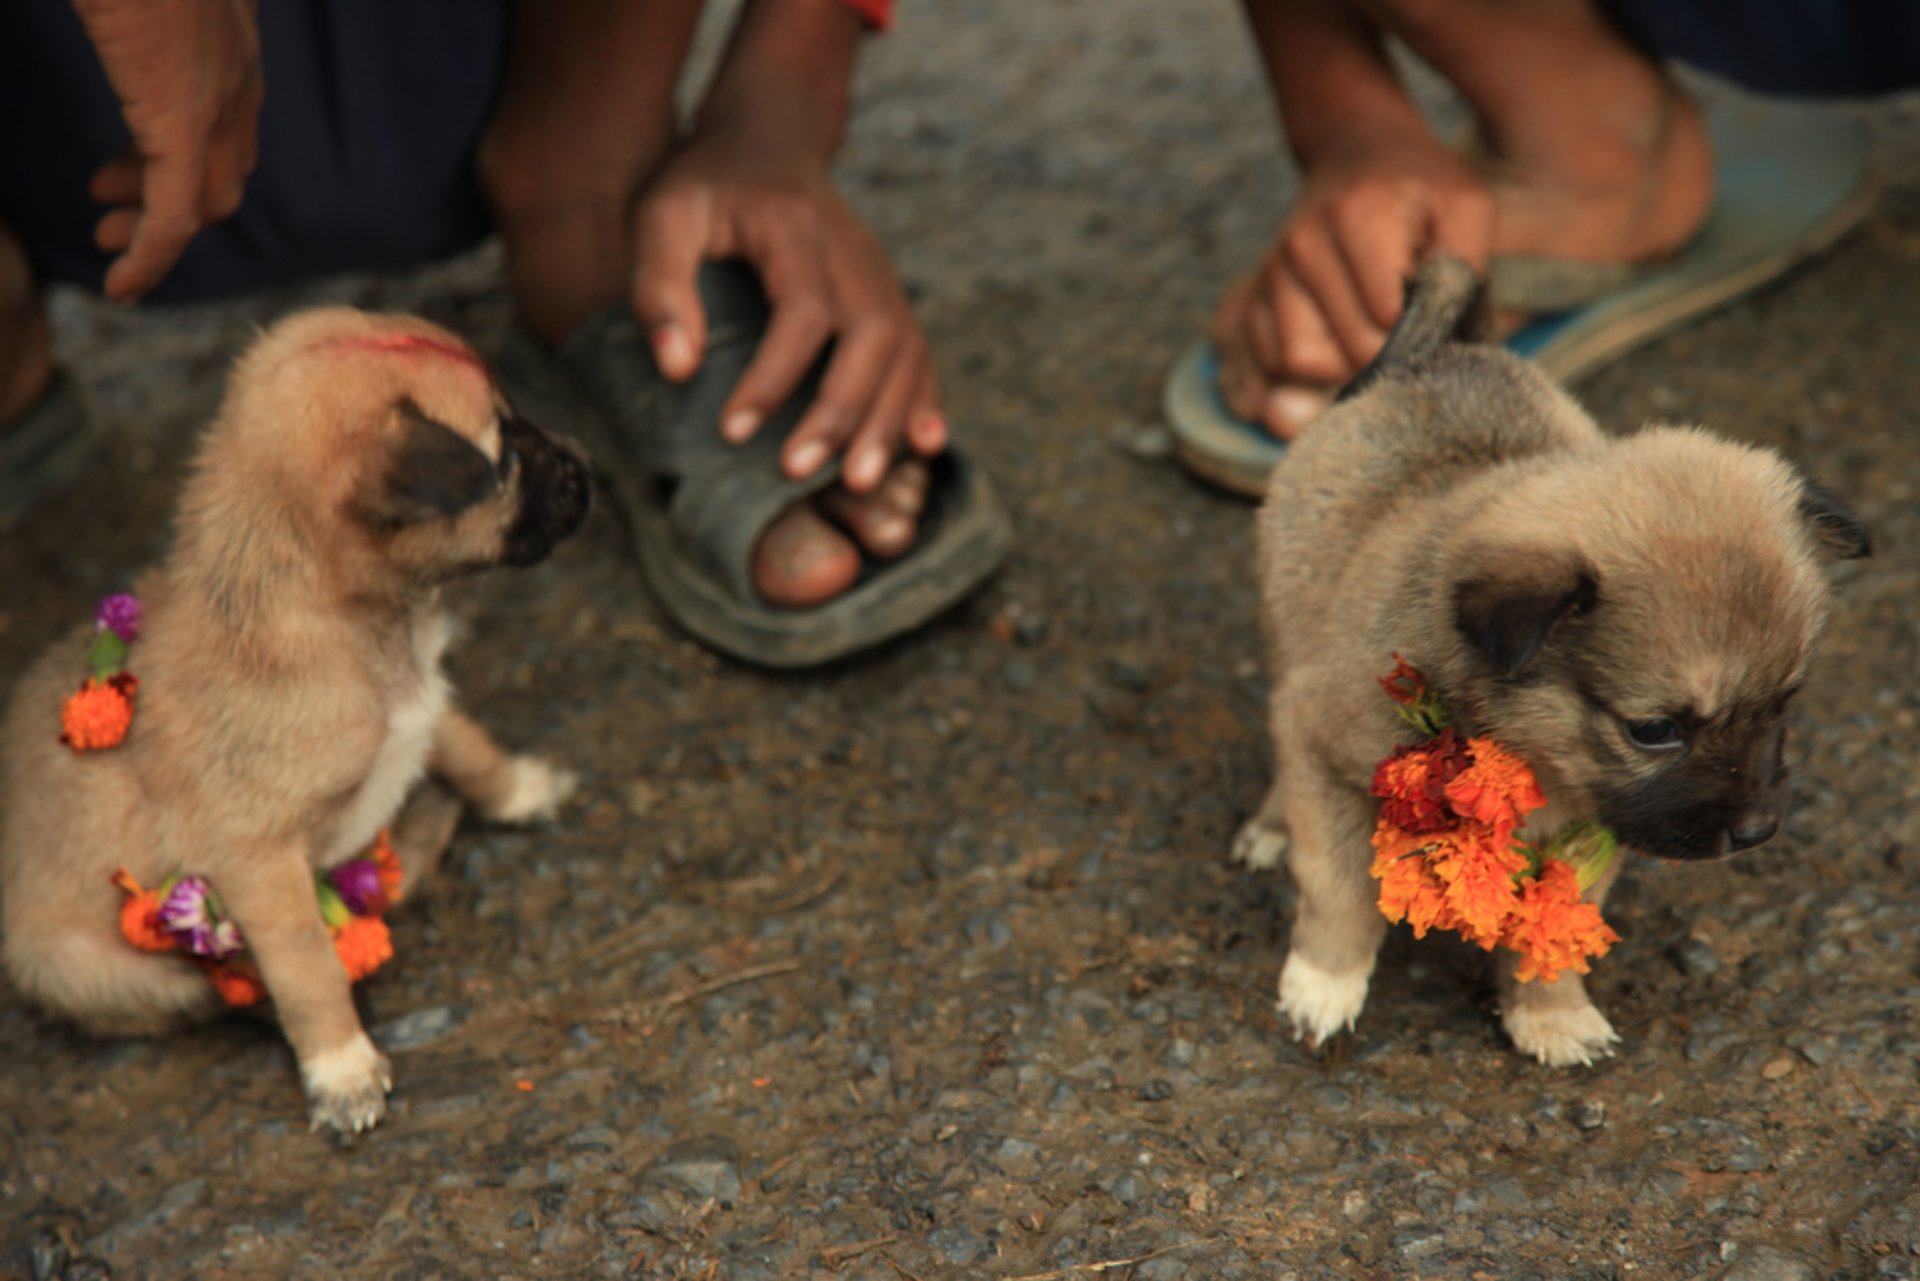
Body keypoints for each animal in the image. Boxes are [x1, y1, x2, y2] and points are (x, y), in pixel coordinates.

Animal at [0, 311, 591, 1129]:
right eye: (503, 456)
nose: (587, 463)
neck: (348, 627)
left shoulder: (420, 710)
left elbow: (468, 745)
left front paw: (521, 788)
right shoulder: (257, 860)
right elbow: (308, 965)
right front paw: (341, 1065)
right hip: (77, 966)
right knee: (203, 994)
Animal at [1236, 255, 1866, 1067]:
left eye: (1784, 703)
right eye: (1655, 730)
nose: (1758, 832)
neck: (1521, 746)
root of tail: (1441, 352)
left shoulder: (1599, 825)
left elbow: (1554, 929)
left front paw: (1551, 1013)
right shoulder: (1328, 755)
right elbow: (1339, 891)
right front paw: (1323, 984)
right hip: (1288, 644)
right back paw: (1270, 827)